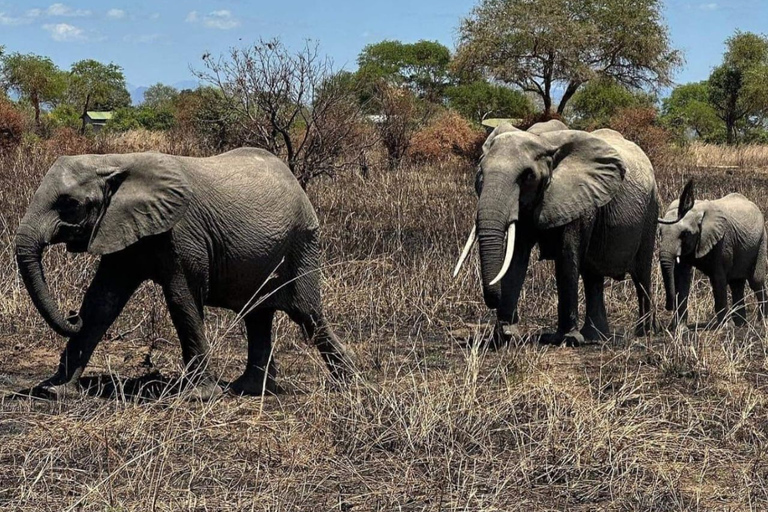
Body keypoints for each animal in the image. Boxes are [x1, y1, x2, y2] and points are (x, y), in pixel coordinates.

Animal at [15, 148, 354, 400]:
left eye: (70, 204)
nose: (71, 316)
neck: (116, 160)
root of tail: (296, 182)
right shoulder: (122, 226)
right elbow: (102, 302)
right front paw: (55, 391)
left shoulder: (182, 232)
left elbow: (182, 300)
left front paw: (199, 396)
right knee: (257, 316)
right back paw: (247, 390)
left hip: (302, 243)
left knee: (308, 315)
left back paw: (352, 384)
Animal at [656, 180, 764, 330]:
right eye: (660, 233)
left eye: (685, 234)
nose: (668, 307)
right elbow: (682, 278)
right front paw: (681, 328)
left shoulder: (722, 241)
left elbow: (718, 279)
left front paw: (723, 328)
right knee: (736, 284)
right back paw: (741, 325)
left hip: (761, 240)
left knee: (756, 282)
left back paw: (760, 322)